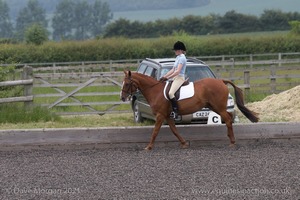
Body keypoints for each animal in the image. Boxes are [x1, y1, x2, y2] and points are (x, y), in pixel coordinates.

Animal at [119, 70, 258, 150]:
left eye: (127, 83)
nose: (122, 97)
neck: (155, 90)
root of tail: (221, 81)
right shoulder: (167, 116)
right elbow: (174, 130)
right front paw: (184, 143)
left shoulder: (160, 115)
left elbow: (155, 131)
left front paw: (148, 146)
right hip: (215, 107)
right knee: (229, 117)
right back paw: (230, 138)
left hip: (218, 107)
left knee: (228, 119)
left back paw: (232, 142)